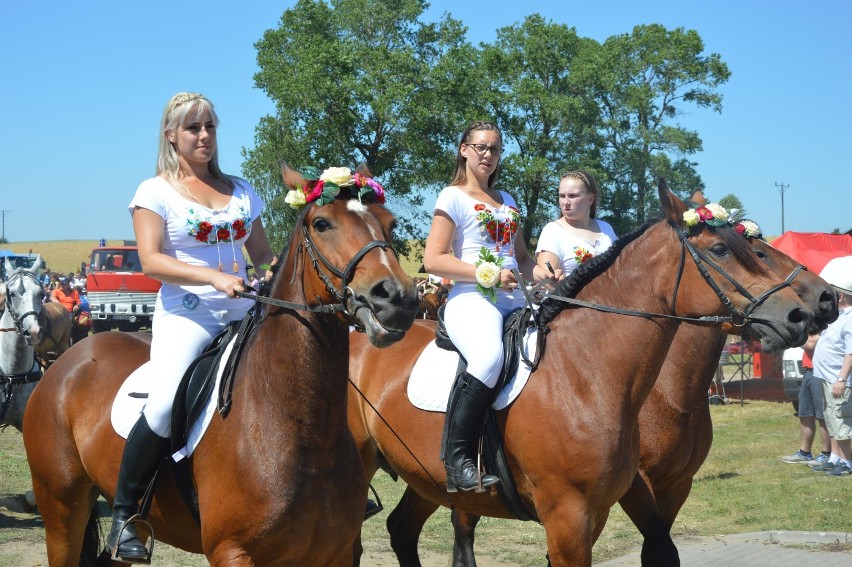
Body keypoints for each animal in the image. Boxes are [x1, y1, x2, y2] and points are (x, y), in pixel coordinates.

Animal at [20, 164, 420, 567]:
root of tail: (70, 358)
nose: (397, 298)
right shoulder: (233, 551)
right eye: (321, 223)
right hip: (61, 510)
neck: (303, 432)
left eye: (390, 223)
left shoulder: (333, 552)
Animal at [348, 185, 820, 564]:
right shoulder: (570, 515)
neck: (586, 373)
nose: (806, 312)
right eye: (724, 250)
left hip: (426, 478)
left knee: (402, 529)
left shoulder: (614, 505)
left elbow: (661, 549)